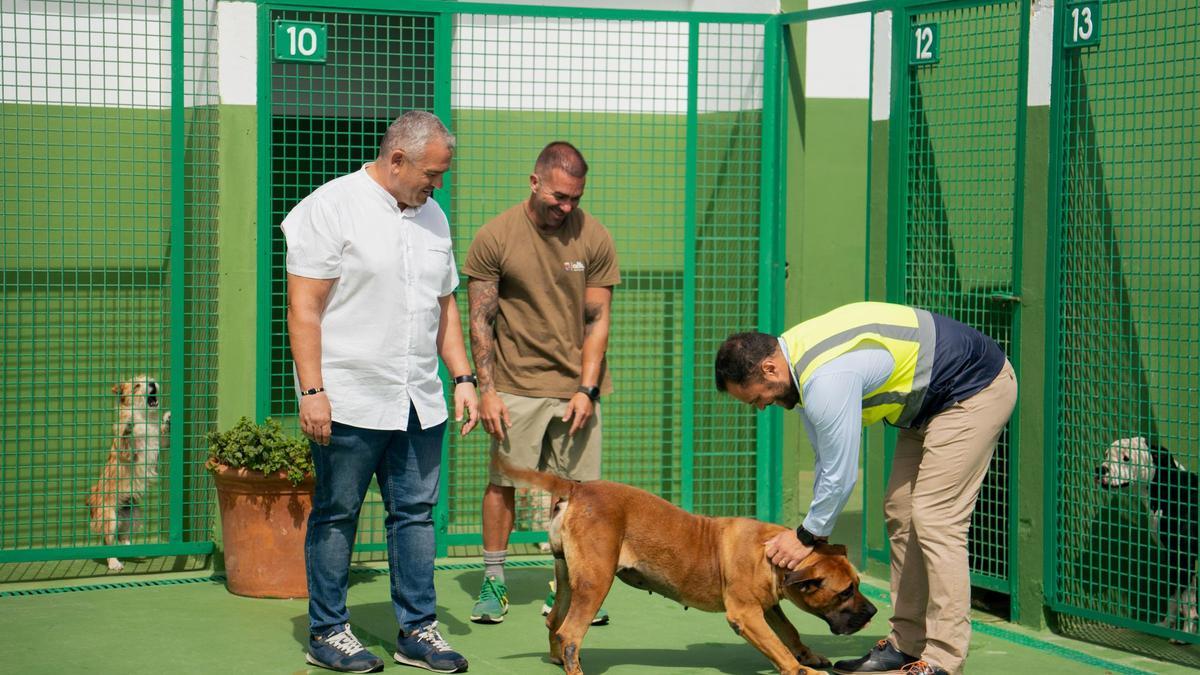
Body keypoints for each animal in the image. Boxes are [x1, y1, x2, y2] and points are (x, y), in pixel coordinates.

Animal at [87, 372, 170, 566]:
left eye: (150, 379)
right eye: (137, 386)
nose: (152, 384)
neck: (145, 418)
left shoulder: (161, 443)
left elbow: (164, 435)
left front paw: (167, 419)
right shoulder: (127, 455)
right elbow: (126, 441)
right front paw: (127, 427)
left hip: (134, 514)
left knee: (123, 537)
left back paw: (133, 550)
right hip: (110, 519)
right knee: (109, 542)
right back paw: (114, 563)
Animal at [496, 458, 873, 672]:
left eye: (857, 584)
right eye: (845, 592)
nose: (872, 612)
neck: (770, 554)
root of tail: (577, 489)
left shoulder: (768, 607)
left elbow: (789, 632)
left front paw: (808, 656)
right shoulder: (747, 615)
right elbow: (779, 650)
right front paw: (801, 669)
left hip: (567, 580)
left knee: (555, 624)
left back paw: (559, 660)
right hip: (595, 582)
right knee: (571, 633)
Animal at [1099, 432, 1200, 638]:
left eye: (1126, 458)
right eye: (1106, 454)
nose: (1101, 469)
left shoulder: (1182, 557)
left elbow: (1187, 603)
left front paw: (1184, 634)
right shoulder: (1174, 559)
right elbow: (1175, 598)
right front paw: (1167, 625)